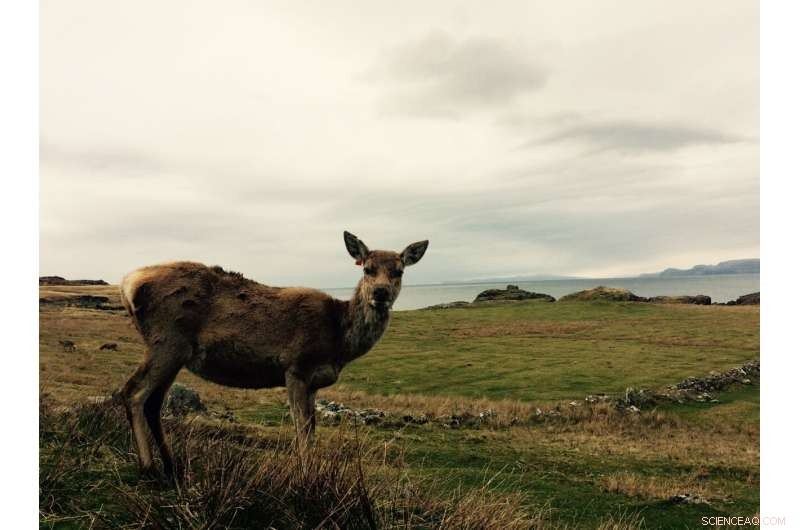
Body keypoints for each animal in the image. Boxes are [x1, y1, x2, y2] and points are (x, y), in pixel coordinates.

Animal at [119, 231, 428, 477]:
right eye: (368, 268)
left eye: (399, 271)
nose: (380, 292)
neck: (338, 340)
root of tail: (127, 283)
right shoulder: (296, 366)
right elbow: (301, 428)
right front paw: (306, 475)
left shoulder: (314, 382)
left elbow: (311, 428)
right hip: (167, 341)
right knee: (133, 391)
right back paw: (148, 467)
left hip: (175, 353)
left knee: (153, 402)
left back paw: (171, 465)